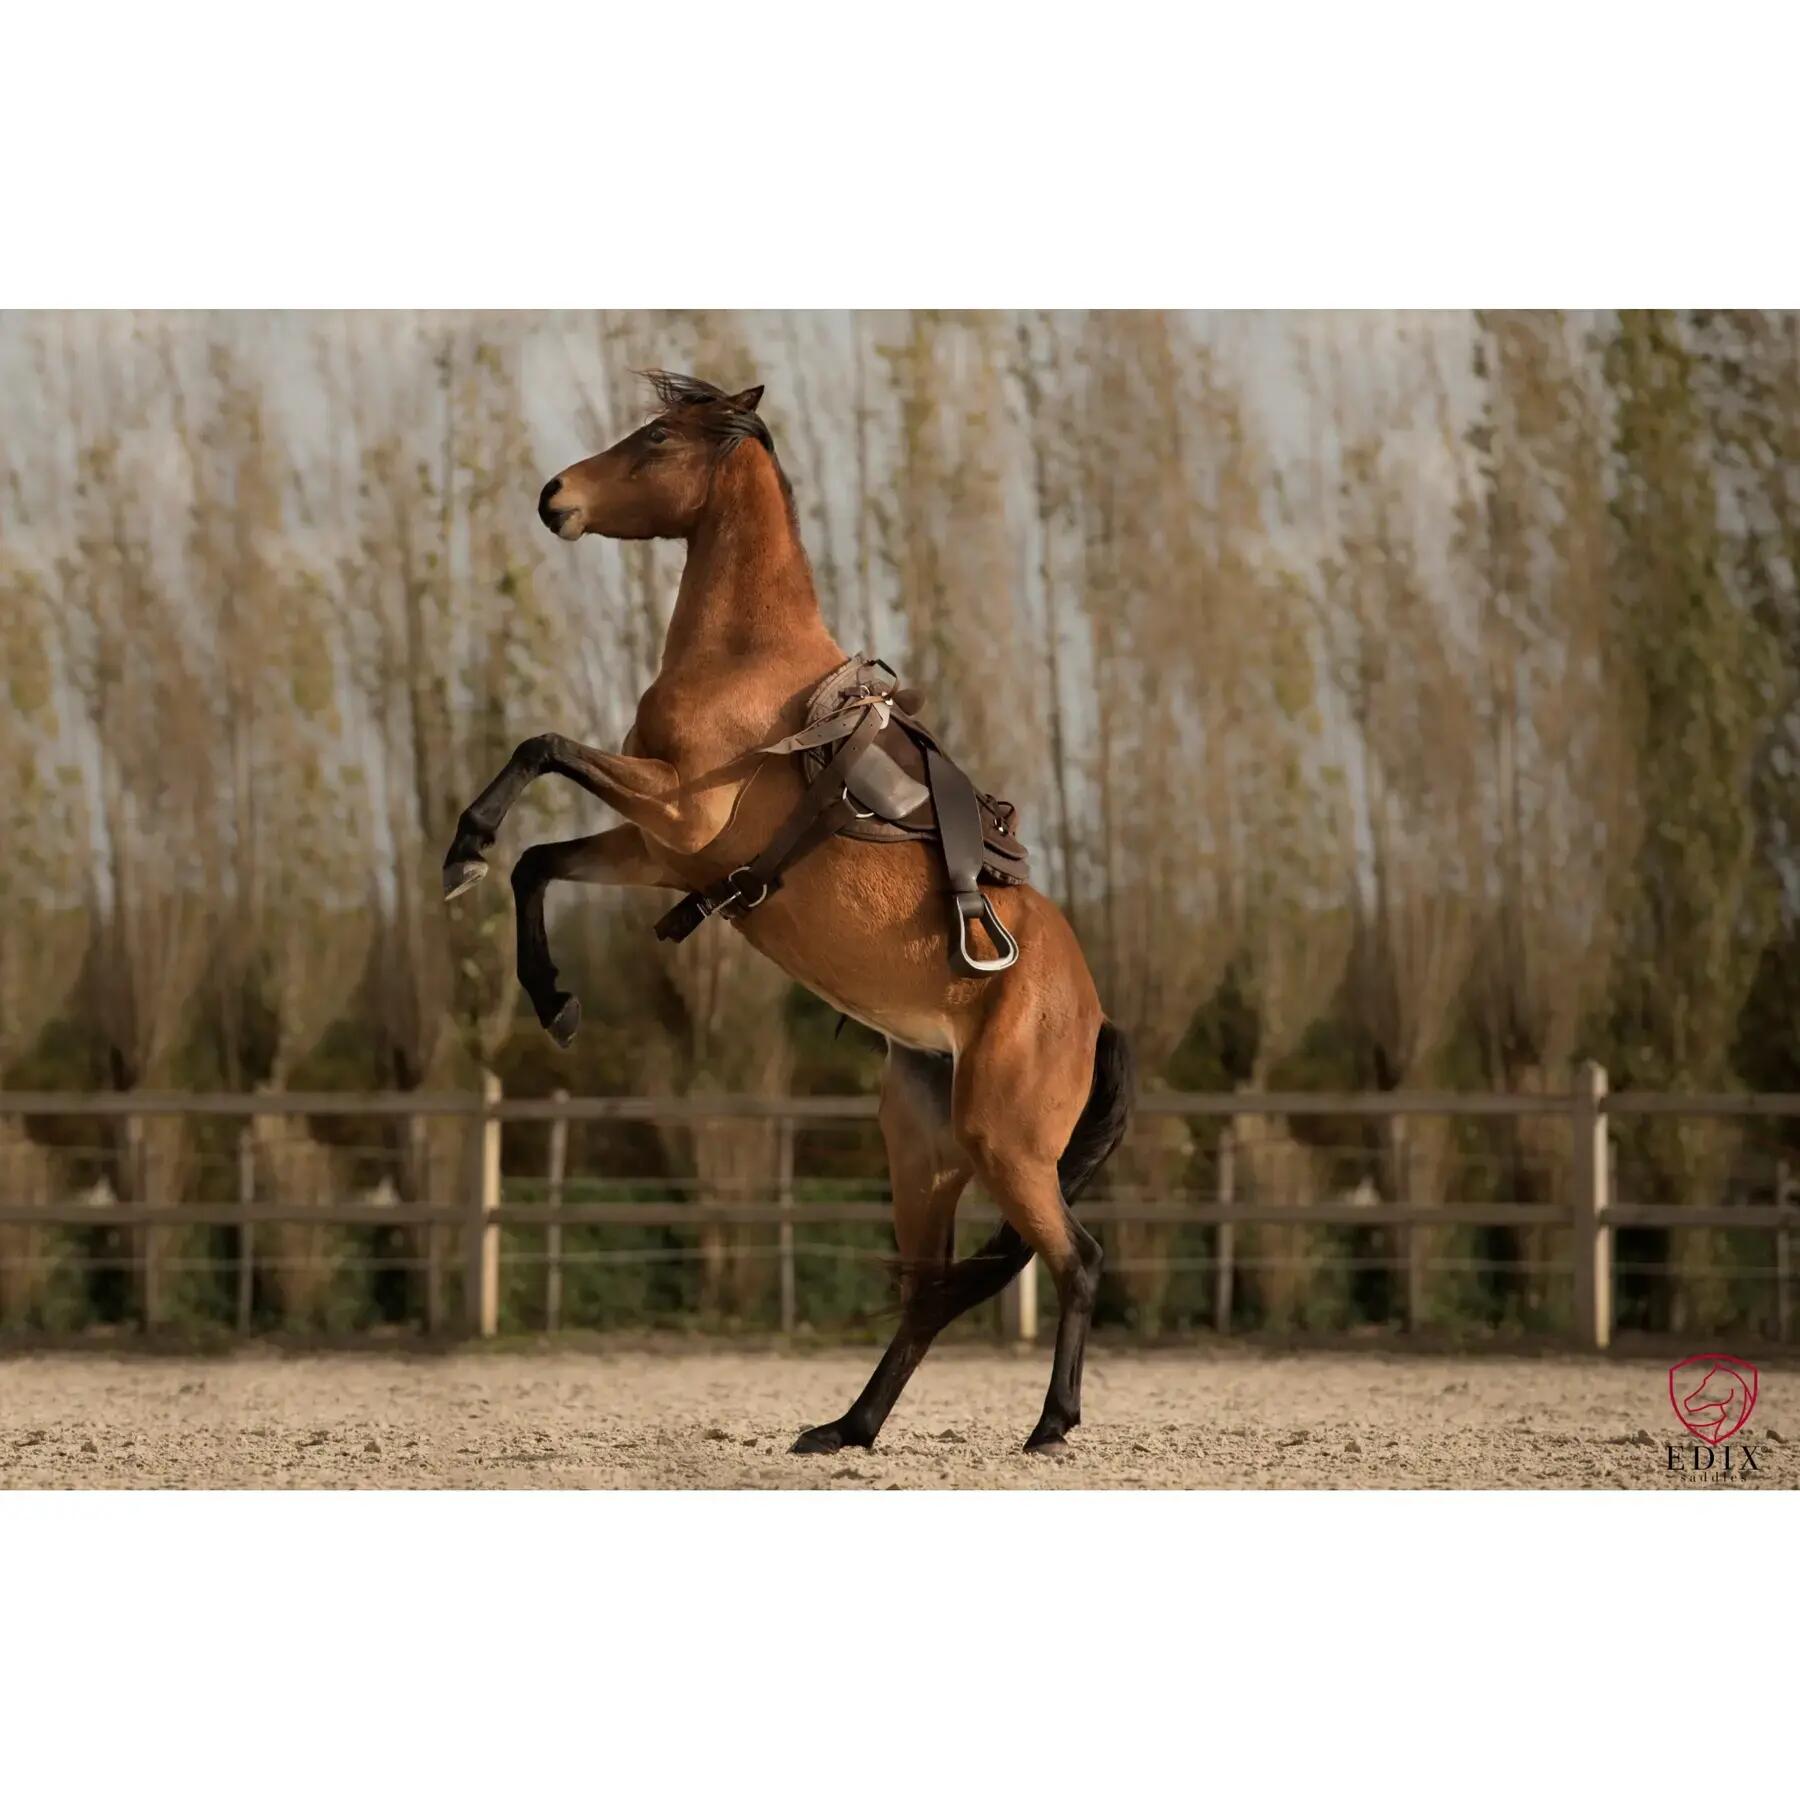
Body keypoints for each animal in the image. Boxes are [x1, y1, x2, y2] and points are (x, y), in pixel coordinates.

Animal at [441, 371, 1134, 1454]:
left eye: (655, 439)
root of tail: (1094, 1018)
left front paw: (464, 847)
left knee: (1078, 1261)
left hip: (1007, 1147)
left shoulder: (674, 811)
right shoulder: (661, 848)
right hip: (923, 1149)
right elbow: (537, 865)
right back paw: (847, 1427)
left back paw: (1050, 1424)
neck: (745, 662)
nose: (555, 496)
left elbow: (540, 745)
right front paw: (551, 996)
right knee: (929, 1292)